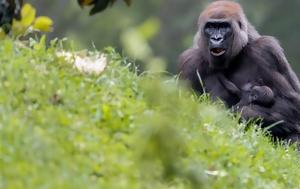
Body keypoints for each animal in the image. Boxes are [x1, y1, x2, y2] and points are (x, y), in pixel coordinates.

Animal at [179, 0, 300, 142]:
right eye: (210, 27)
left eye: (224, 27)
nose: (216, 38)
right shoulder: (190, 63)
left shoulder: (266, 51)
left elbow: (291, 102)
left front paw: (245, 113)